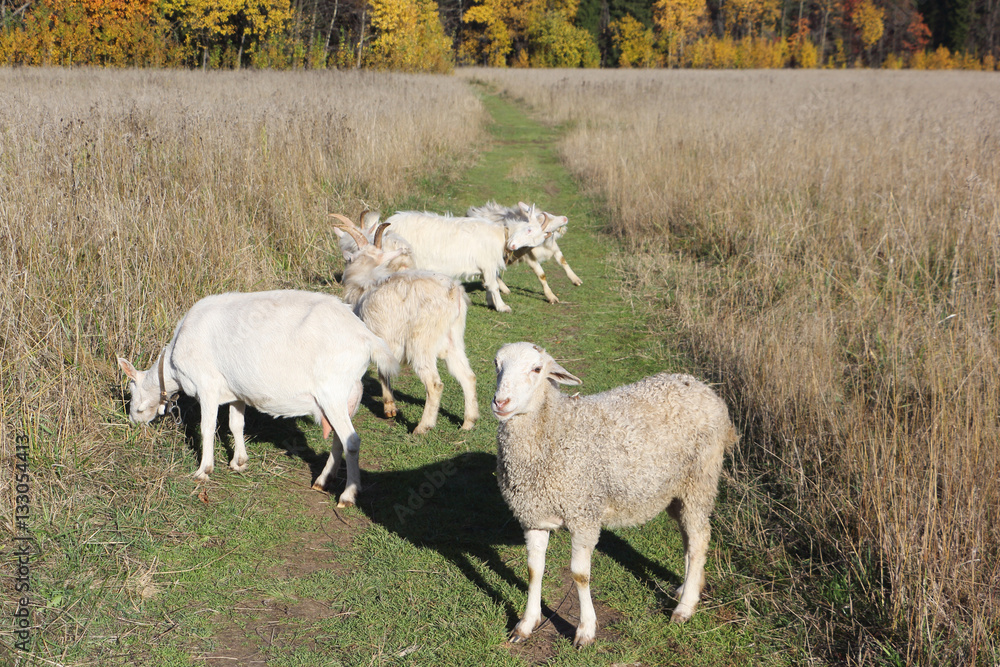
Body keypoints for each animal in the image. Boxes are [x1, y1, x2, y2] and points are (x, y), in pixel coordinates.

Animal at [117, 289, 399, 508]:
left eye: (132, 391)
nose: (132, 421)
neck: (173, 366)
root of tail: (368, 338)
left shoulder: (207, 385)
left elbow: (207, 428)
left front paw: (203, 471)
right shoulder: (235, 391)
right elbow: (235, 424)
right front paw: (239, 462)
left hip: (333, 391)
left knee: (352, 441)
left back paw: (348, 496)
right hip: (346, 395)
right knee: (340, 439)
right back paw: (322, 481)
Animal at [333, 208, 549, 313]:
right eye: (529, 229)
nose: (513, 246)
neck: (500, 234)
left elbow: (490, 284)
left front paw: (491, 302)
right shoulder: (487, 263)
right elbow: (494, 285)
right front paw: (503, 307)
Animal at [333, 214, 478, 434]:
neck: (365, 284)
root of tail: (454, 293)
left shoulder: (379, 336)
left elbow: (383, 370)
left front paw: (389, 408)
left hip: (422, 340)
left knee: (434, 384)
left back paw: (422, 427)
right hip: (454, 339)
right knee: (467, 376)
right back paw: (468, 422)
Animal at [491, 342, 738, 647]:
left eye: (537, 369)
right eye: (497, 364)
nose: (501, 403)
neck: (556, 428)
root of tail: (704, 388)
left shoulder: (583, 514)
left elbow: (580, 575)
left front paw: (585, 630)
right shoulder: (533, 515)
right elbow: (533, 570)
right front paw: (526, 624)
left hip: (700, 479)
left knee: (700, 538)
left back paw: (685, 607)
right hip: (675, 489)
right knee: (689, 537)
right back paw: (686, 587)